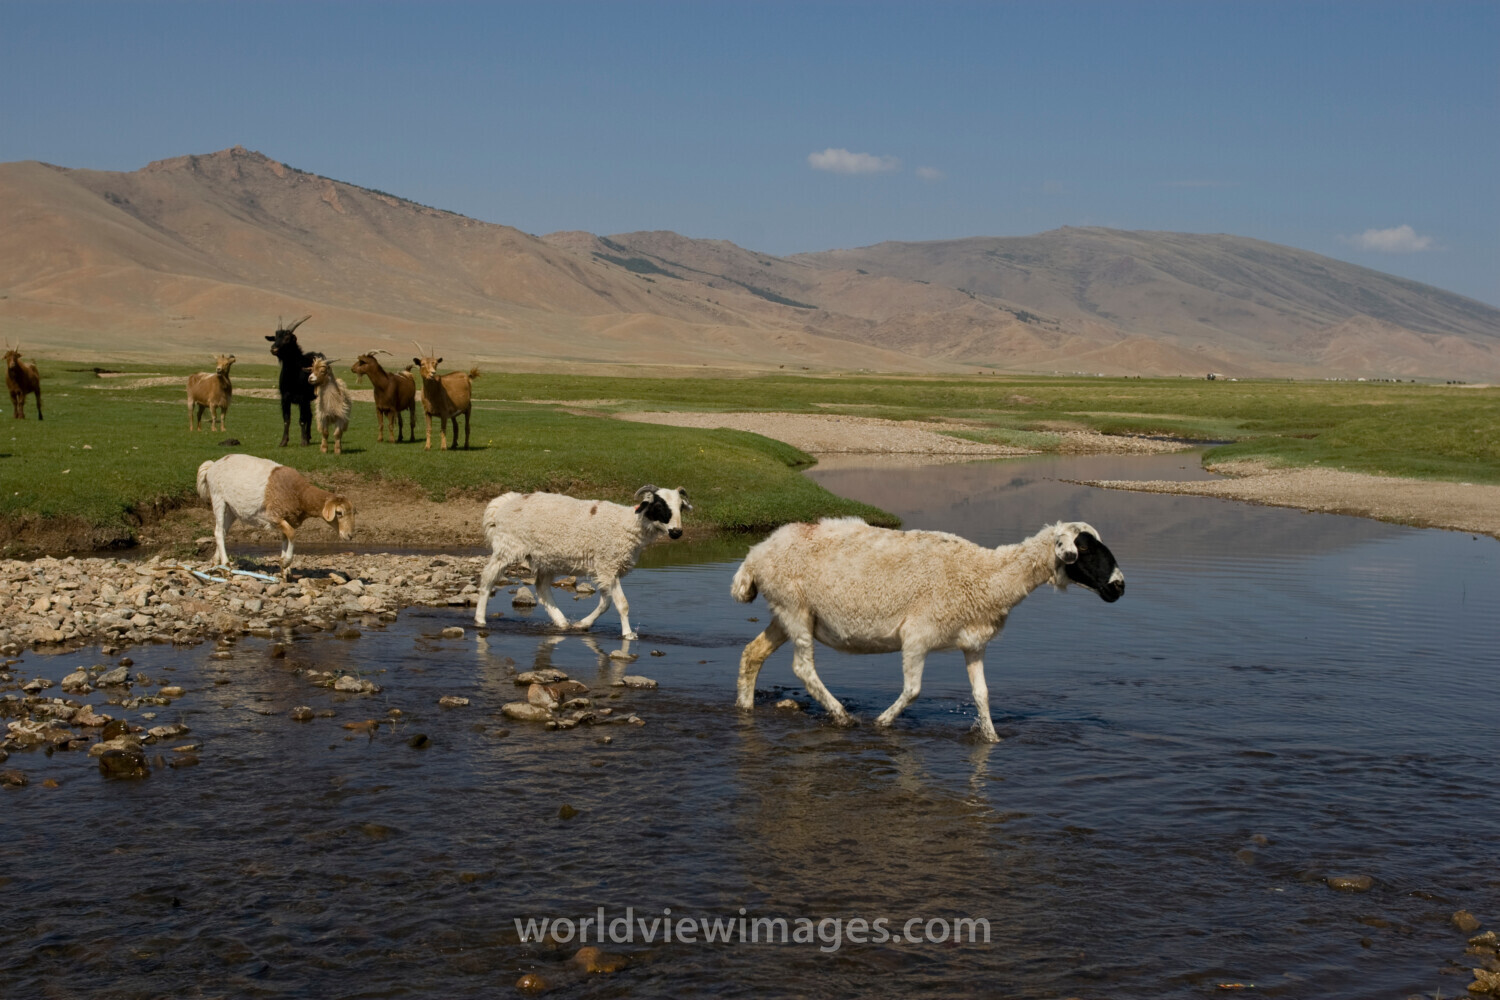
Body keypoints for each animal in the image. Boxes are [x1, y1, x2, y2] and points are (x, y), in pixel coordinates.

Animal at [196, 453, 354, 579]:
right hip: (218, 498)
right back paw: (226, 567)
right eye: (339, 513)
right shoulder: (273, 517)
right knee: (218, 532)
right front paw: (285, 562)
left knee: (222, 531)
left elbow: (286, 538)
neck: (300, 495)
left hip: (232, 509)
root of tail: (212, 465)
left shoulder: (287, 518)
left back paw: (216, 564)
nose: (350, 535)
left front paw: (285, 571)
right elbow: (292, 534)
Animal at [266, 315, 318, 447]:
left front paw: (303, 442)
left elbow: (302, 420)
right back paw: (308, 437)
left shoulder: (302, 398)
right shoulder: (285, 398)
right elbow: (286, 420)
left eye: (288, 338)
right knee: (310, 415)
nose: (273, 349)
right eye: (275, 337)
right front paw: (283, 442)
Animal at [473, 485, 693, 639]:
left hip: (547, 558)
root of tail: (506, 502)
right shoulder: (607, 565)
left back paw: (562, 622)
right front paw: (628, 634)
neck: (627, 524)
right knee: (488, 578)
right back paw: (480, 619)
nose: (677, 532)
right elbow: (622, 604)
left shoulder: (605, 569)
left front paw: (583, 624)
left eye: (681, 507)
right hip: (507, 547)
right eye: (659, 506)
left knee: (542, 588)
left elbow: (605, 603)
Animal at [730, 518, 1125, 742]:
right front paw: (882, 723)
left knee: (752, 654)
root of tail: (755, 554)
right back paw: (842, 715)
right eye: (1085, 547)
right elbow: (913, 690)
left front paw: (992, 738)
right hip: (794, 608)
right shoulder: (917, 635)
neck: (985, 574)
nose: (1119, 587)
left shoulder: (973, 644)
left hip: (785, 613)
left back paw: (745, 708)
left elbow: (982, 695)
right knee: (803, 668)